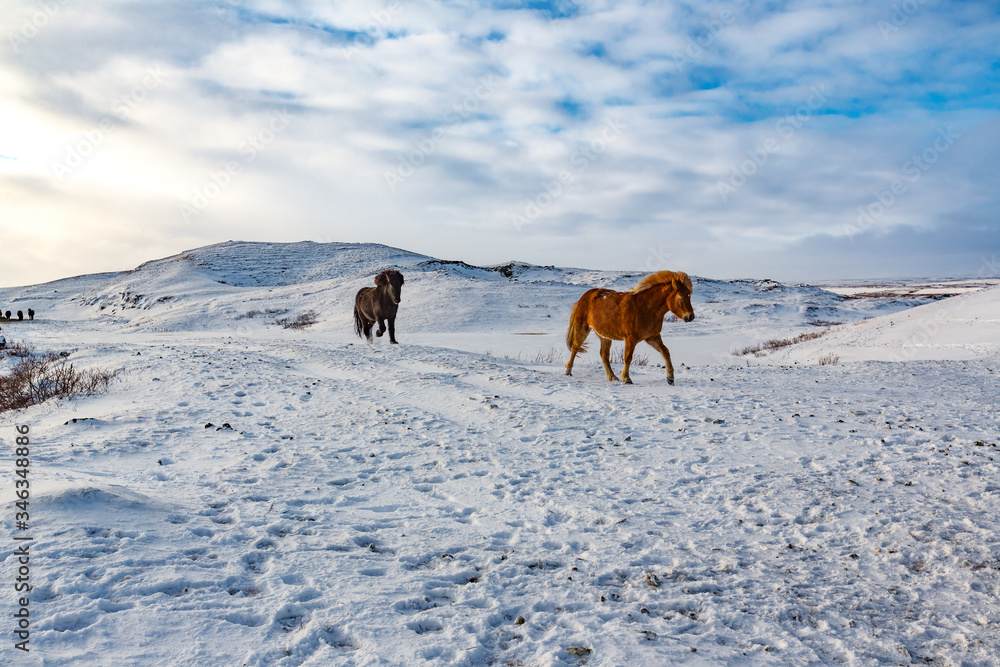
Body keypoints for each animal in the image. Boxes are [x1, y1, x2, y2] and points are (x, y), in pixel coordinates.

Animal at [565, 270, 695, 385]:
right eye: (681, 297)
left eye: (689, 296)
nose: (690, 317)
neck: (646, 308)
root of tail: (584, 297)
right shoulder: (631, 339)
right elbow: (628, 358)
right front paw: (627, 379)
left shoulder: (652, 337)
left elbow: (666, 352)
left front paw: (670, 378)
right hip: (582, 328)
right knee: (576, 347)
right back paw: (568, 371)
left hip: (605, 336)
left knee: (604, 355)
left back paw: (612, 377)